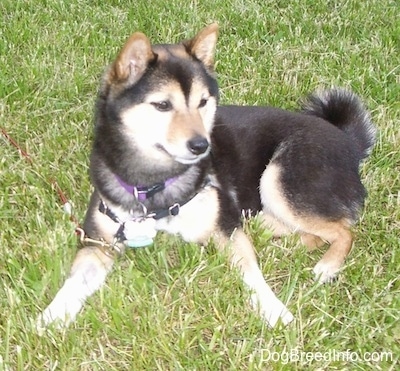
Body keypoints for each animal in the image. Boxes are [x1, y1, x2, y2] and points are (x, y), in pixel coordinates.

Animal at [37, 24, 376, 332]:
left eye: (203, 102)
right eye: (162, 105)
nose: (202, 145)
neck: (155, 187)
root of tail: (348, 142)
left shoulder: (224, 229)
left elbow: (253, 275)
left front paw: (274, 310)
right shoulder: (99, 241)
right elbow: (73, 282)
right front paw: (51, 316)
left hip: (280, 178)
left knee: (344, 231)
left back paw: (326, 265)